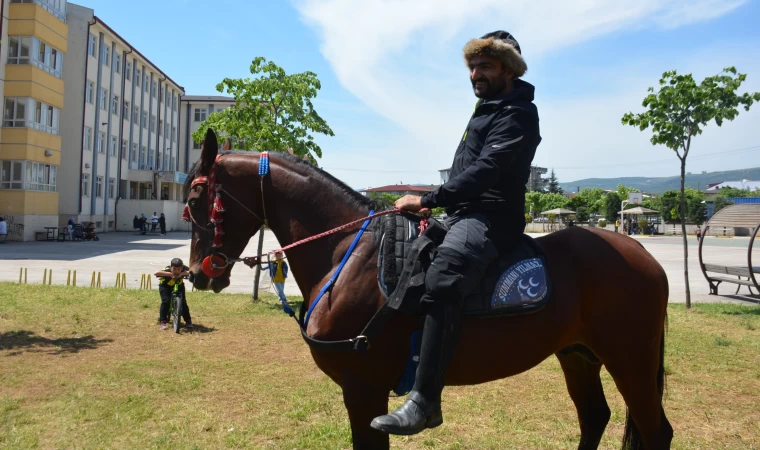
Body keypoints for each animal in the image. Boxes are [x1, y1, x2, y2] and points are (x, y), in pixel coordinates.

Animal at [184, 128, 672, 448]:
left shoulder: (363, 391)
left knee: (656, 431)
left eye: (193, 198)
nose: (198, 274)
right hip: (579, 355)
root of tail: (642, 253)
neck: (347, 255)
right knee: (595, 418)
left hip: (630, 359)